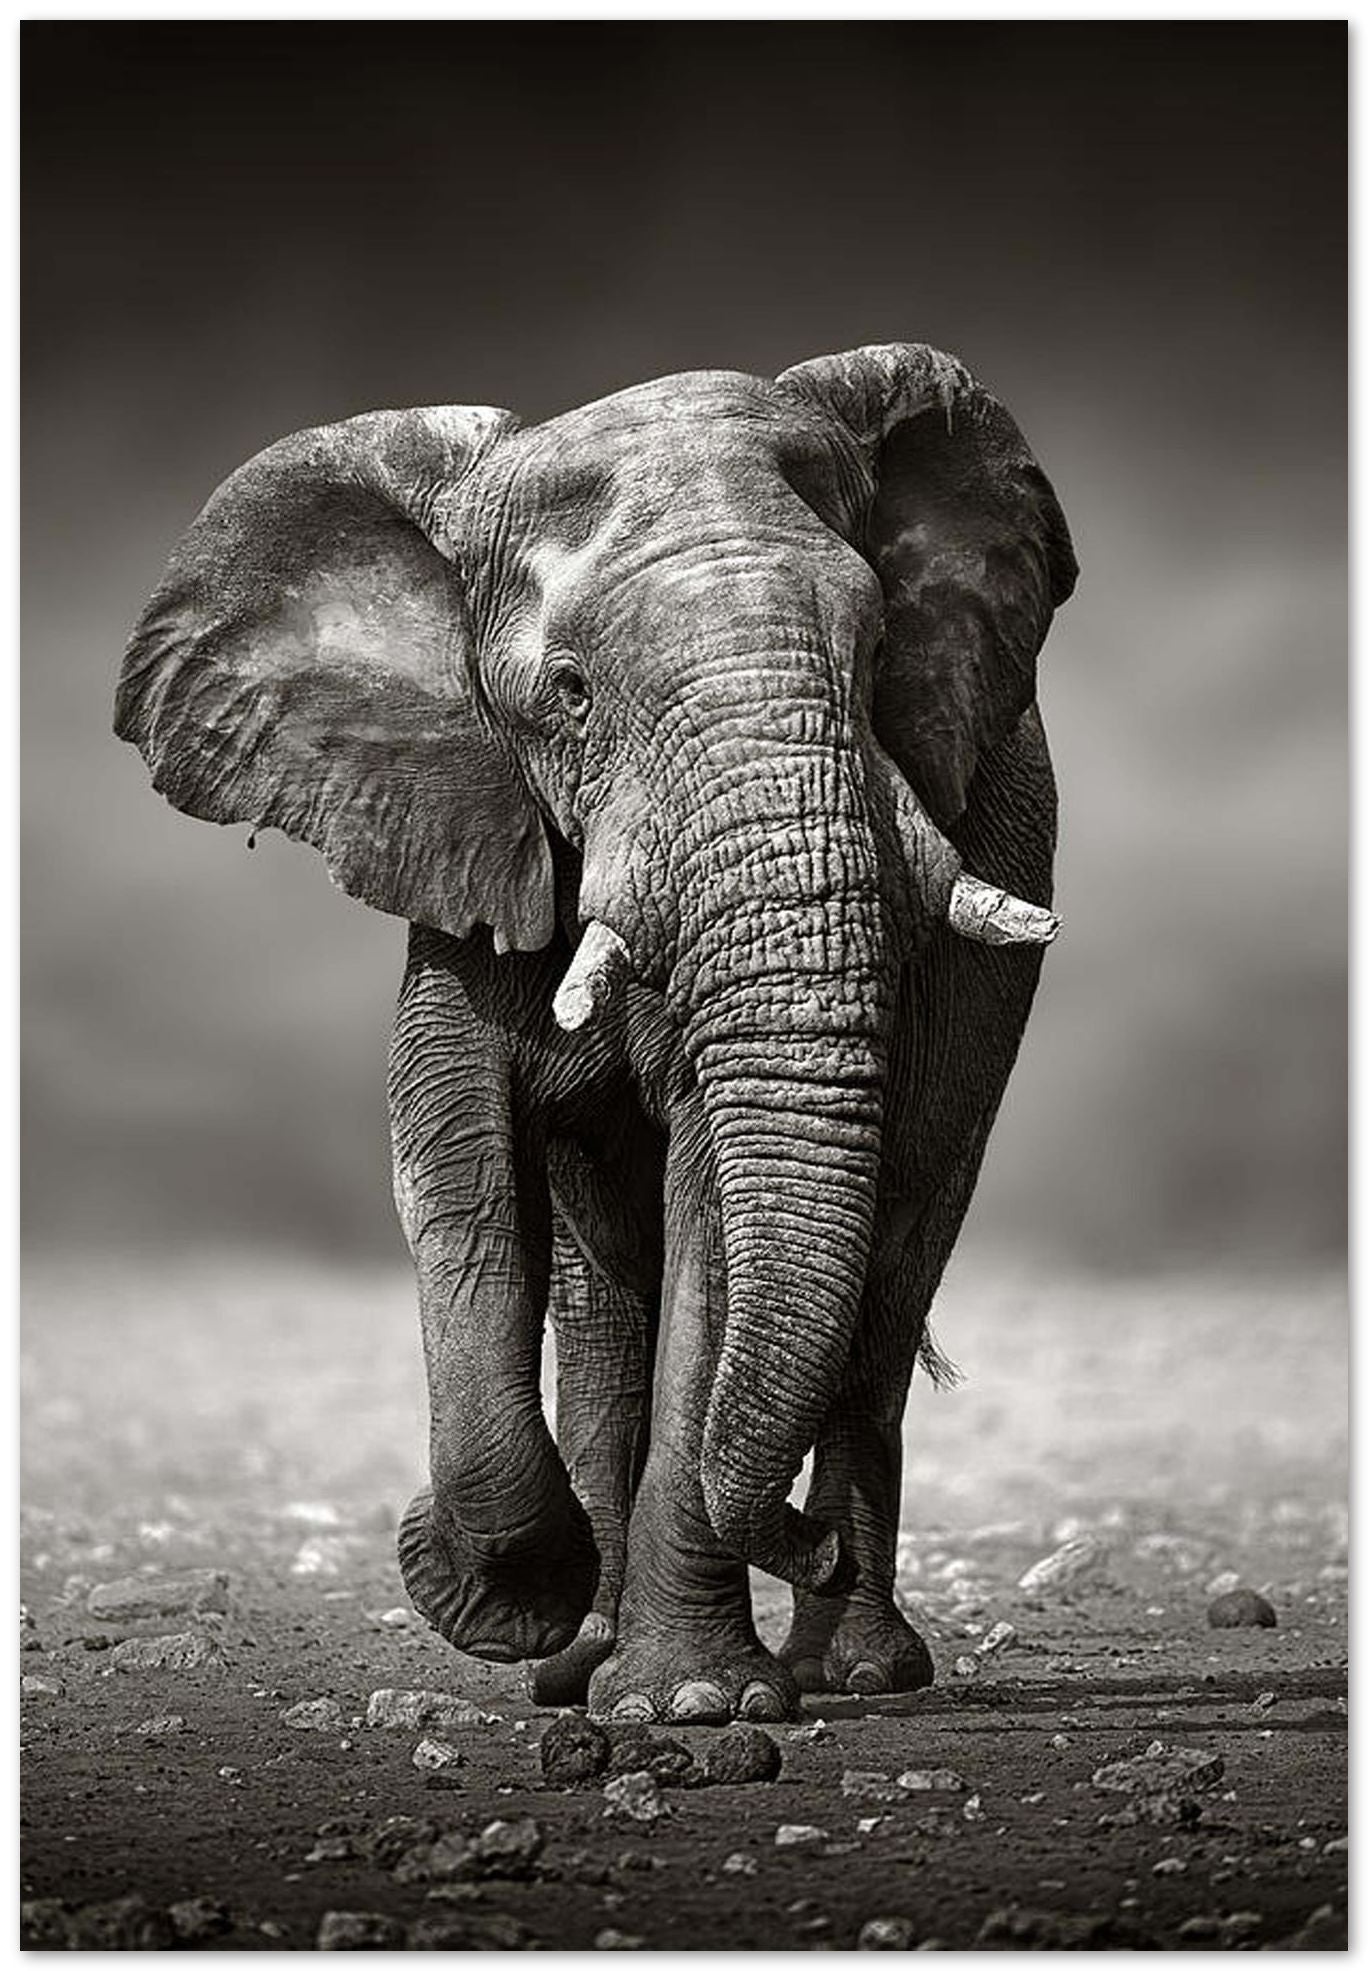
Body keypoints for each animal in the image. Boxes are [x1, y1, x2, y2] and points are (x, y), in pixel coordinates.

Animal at [114, 343, 1075, 1724]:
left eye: (880, 647)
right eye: (567, 695)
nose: (801, 1543)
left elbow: (714, 1206)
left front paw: (693, 1705)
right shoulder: (464, 826)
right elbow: (453, 1162)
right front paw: (509, 1600)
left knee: (892, 1263)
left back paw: (849, 1670)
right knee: (605, 1300)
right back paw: (583, 1659)